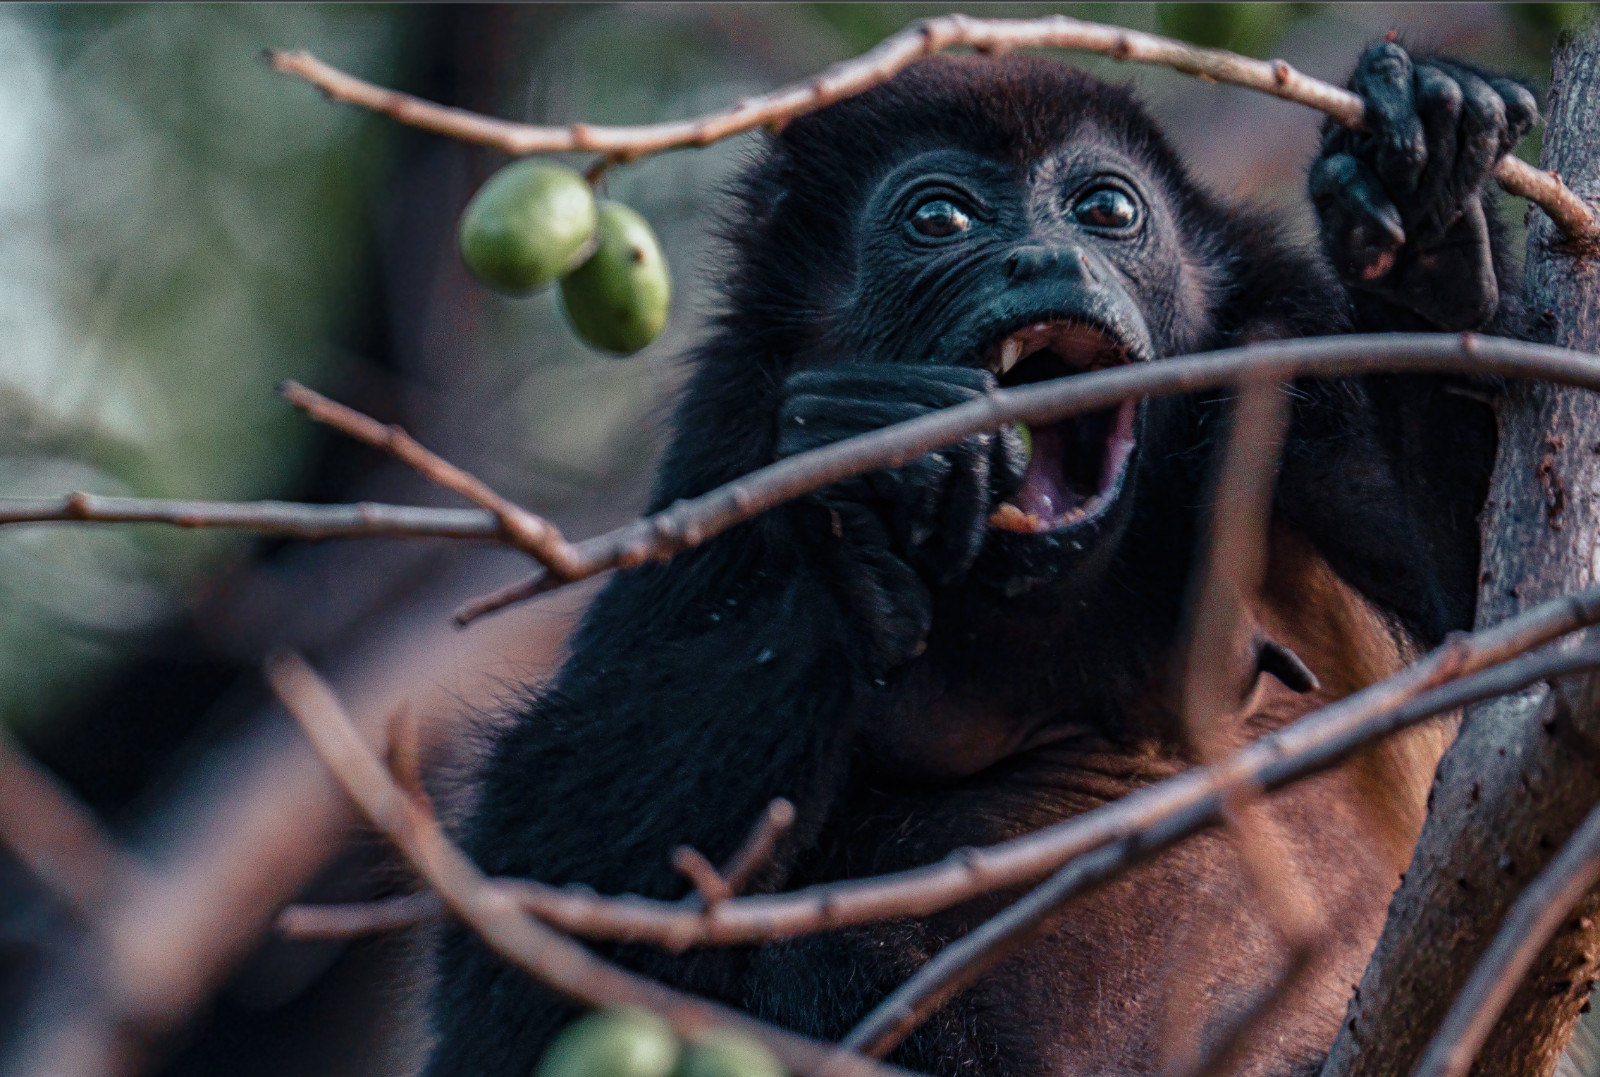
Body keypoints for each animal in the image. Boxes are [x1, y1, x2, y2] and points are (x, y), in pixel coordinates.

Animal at [424, 41, 1539, 1077]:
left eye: (1103, 209)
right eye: (941, 220)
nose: (1049, 261)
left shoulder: (1283, 342)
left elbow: (1496, 640)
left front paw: (1430, 238)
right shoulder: (726, 448)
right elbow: (520, 972)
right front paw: (865, 500)